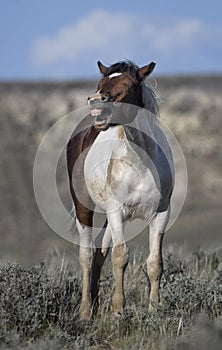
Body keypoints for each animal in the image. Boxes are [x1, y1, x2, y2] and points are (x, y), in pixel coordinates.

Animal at [67, 60, 174, 320]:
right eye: (101, 82)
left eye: (127, 85)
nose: (96, 103)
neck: (142, 162)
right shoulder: (117, 211)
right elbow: (120, 257)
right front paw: (118, 309)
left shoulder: (161, 213)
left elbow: (155, 263)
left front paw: (154, 308)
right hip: (85, 208)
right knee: (86, 256)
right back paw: (85, 310)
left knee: (99, 253)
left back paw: (95, 304)